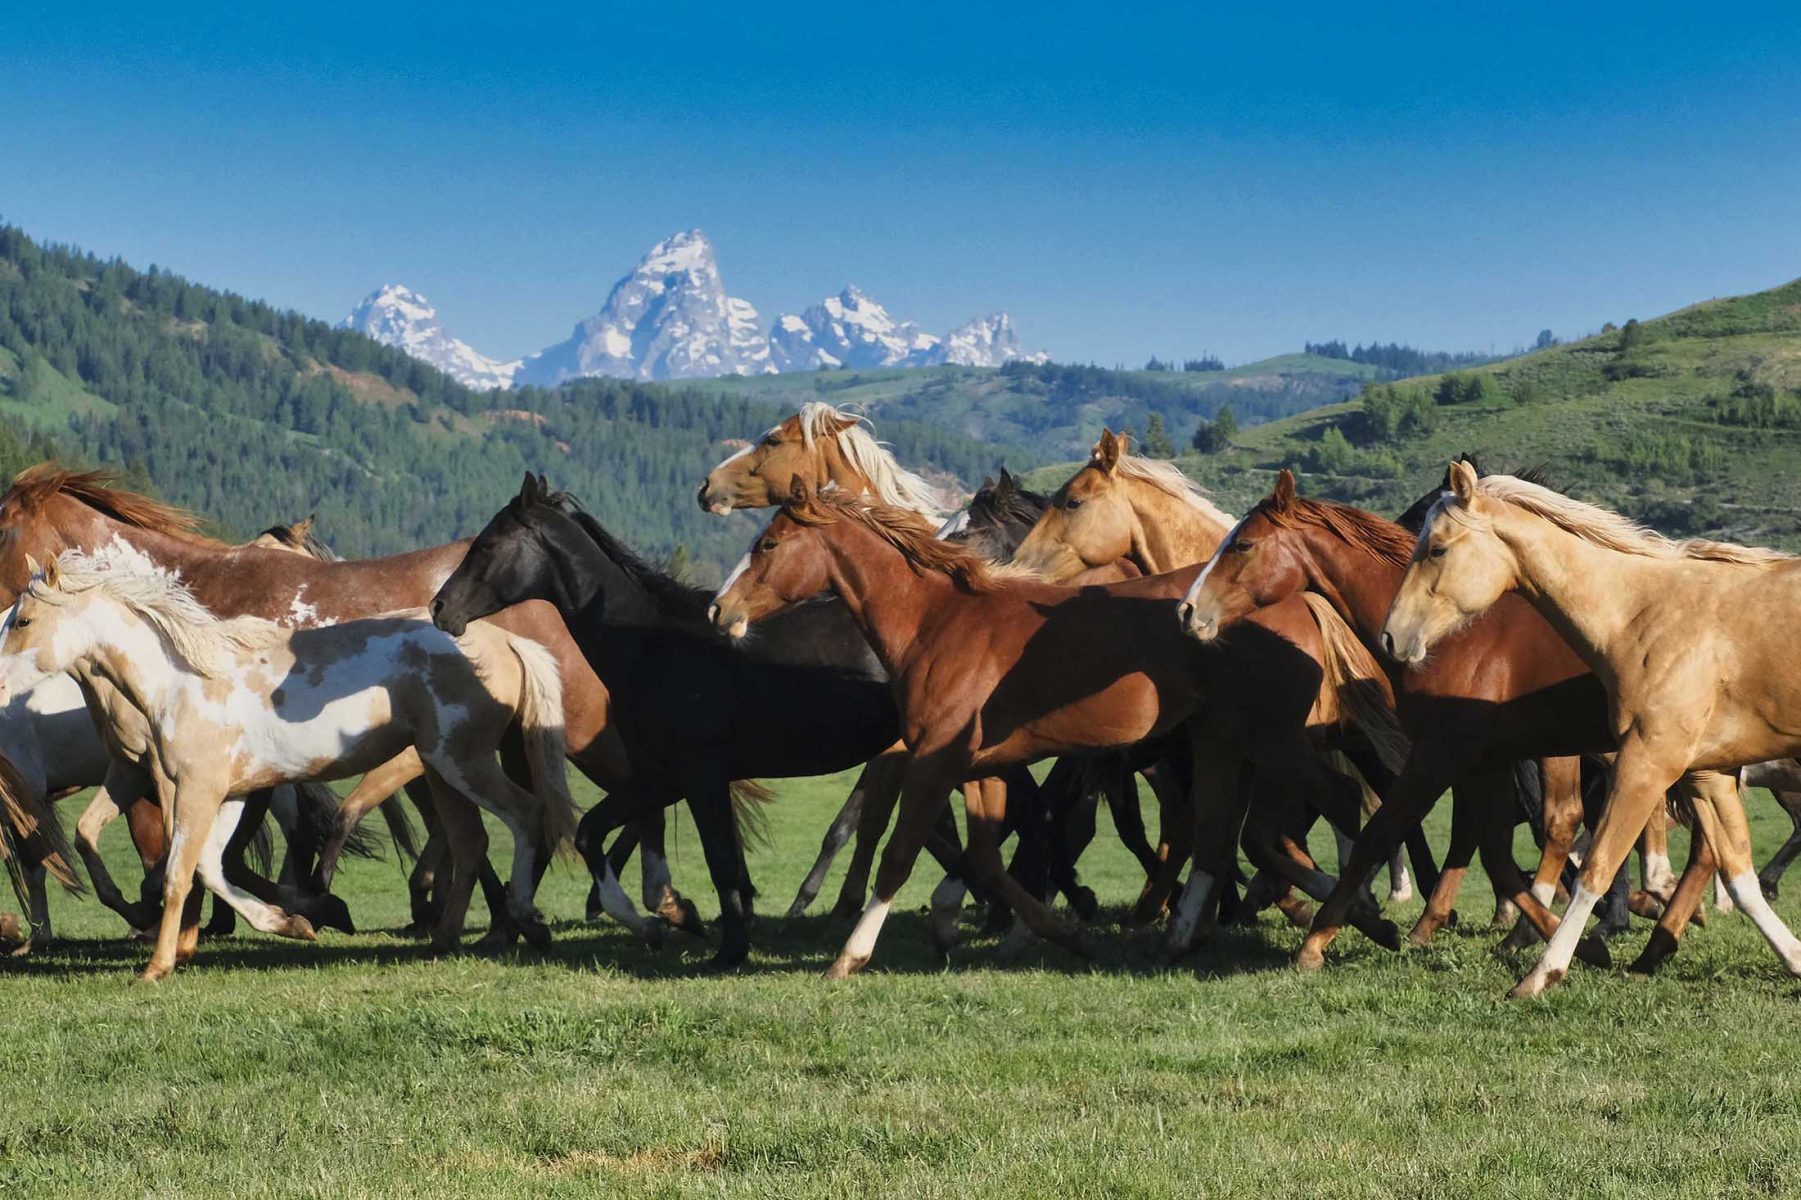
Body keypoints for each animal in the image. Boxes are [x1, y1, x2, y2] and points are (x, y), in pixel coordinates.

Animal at [0, 548, 577, 980]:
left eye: (23, 619)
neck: (183, 681)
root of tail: (508, 640)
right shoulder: (229, 795)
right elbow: (211, 868)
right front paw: (295, 922)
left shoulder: (195, 790)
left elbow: (178, 874)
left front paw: (157, 966)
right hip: (442, 770)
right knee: (470, 841)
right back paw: (445, 940)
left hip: (463, 762)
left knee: (526, 817)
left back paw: (525, 922)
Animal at [429, 473, 906, 968]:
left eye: (488, 543)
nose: (440, 607)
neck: (655, 647)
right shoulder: (662, 779)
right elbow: (591, 833)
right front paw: (658, 922)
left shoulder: (700, 778)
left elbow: (721, 862)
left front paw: (728, 949)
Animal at [708, 481, 1412, 975]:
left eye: (768, 545)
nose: (720, 609)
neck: (940, 622)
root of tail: (1302, 597)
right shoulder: (982, 768)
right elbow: (989, 859)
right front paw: (1064, 933)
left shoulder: (934, 759)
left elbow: (901, 854)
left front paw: (849, 956)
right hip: (1219, 740)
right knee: (1217, 834)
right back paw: (1188, 936)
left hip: (1270, 738)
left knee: (1334, 802)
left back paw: (1355, 917)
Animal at [1384, 461, 1801, 996]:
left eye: (1436, 547)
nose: (1392, 637)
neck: (1643, 615)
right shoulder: (1707, 776)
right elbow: (1740, 879)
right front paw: (1795, 959)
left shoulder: (1645, 763)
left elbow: (1595, 869)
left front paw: (1540, 975)